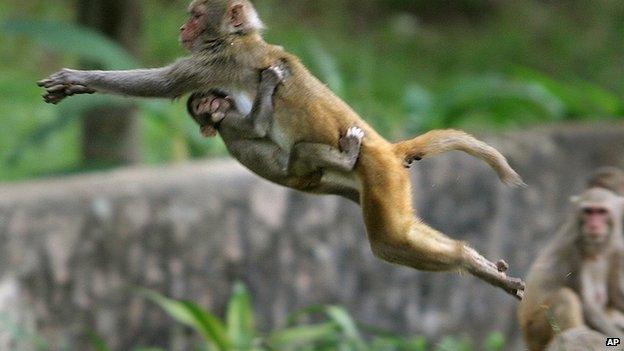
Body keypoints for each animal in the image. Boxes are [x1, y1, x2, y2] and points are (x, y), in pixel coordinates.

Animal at [190, 63, 366, 204]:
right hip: (297, 174)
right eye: (200, 106)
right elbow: (256, 127)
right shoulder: (227, 122)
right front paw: (269, 80)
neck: (218, 122)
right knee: (301, 151)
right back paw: (348, 157)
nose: (209, 104)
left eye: (206, 99)